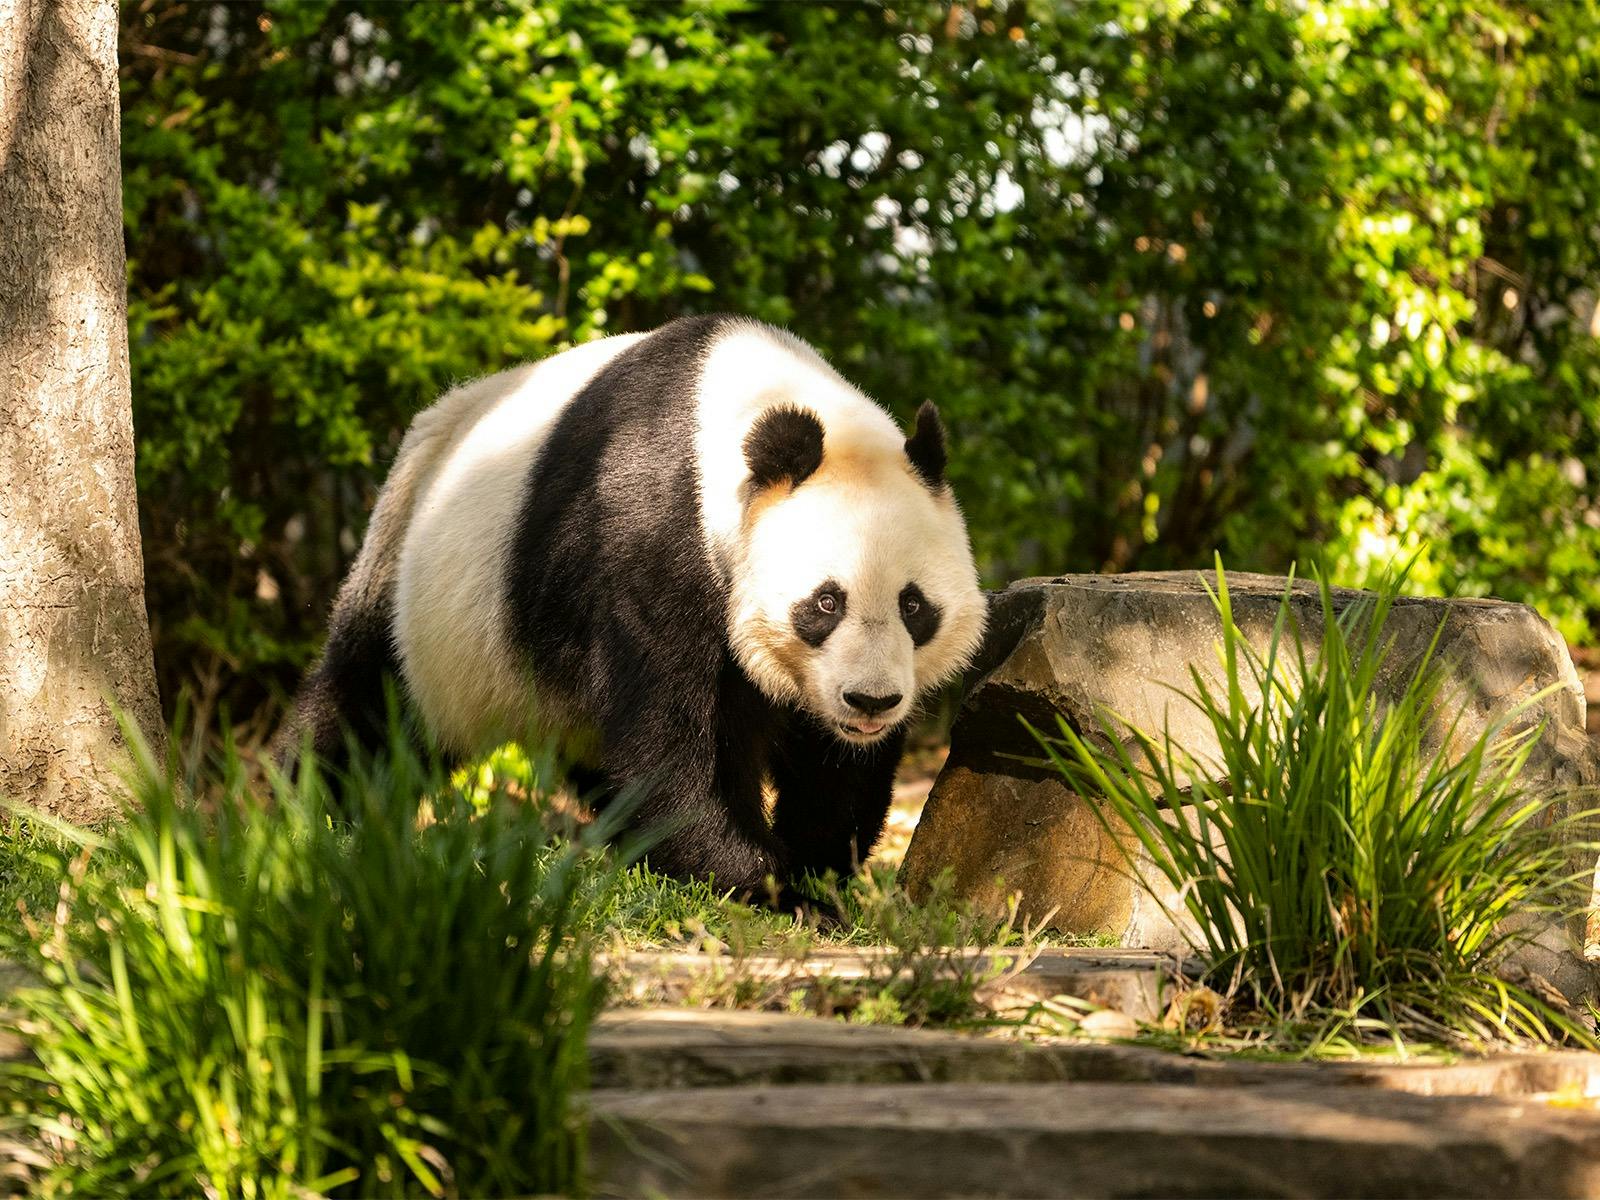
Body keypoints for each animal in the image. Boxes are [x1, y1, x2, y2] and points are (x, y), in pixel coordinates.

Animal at [280, 314, 987, 905]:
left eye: (914, 605)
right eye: (826, 602)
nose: (871, 702)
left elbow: (831, 766)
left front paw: (814, 878)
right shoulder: (648, 533)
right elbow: (665, 732)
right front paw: (755, 879)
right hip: (423, 592)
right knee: (369, 707)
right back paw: (305, 813)